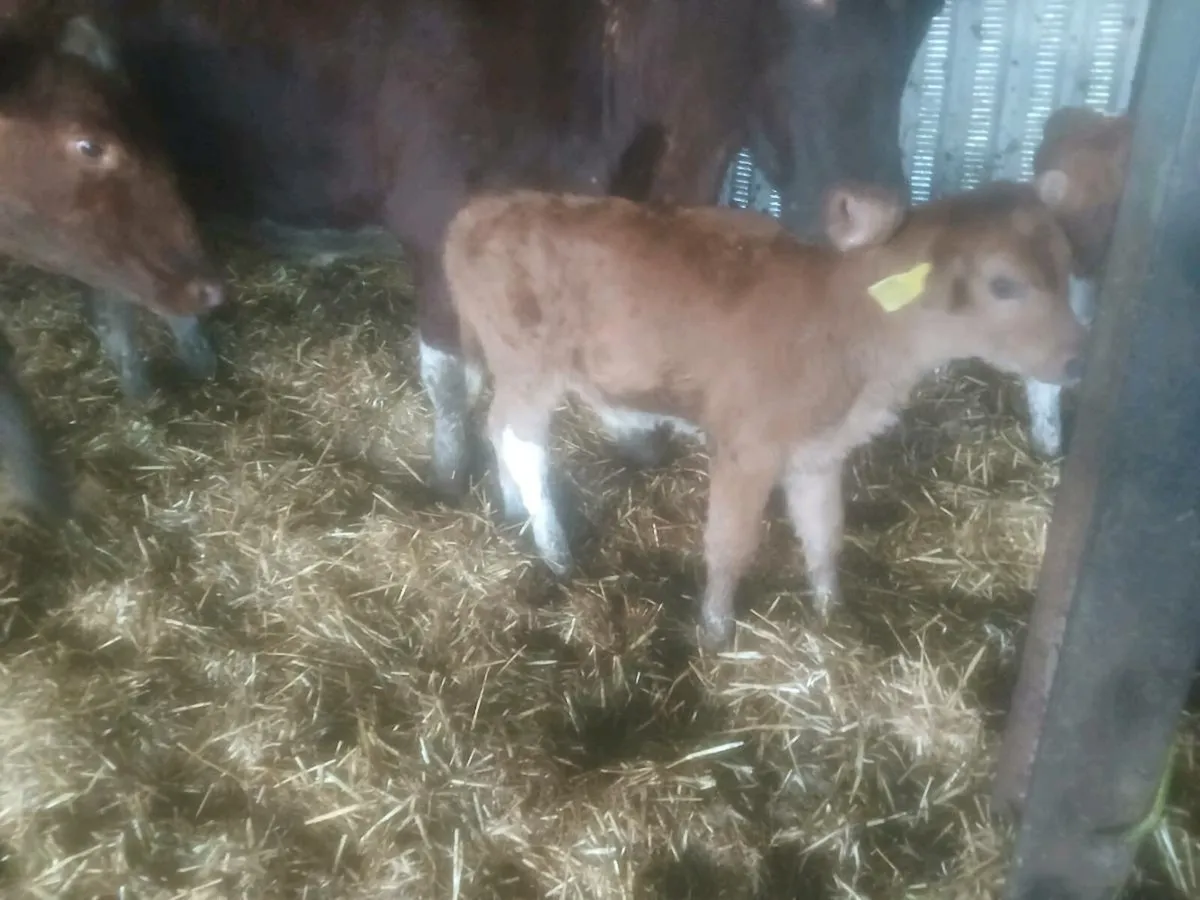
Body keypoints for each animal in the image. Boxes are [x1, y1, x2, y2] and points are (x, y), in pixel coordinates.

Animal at [33, 0, 943, 497]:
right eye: (810, 1)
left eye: (928, 10)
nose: (874, 210)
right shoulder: (438, 221)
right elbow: (450, 375)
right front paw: (450, 478)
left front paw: (634, 438)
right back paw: (136, 381)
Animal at [441, 179, 1087, 647]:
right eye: (1004, 283)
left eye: (1066, 264)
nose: (1077, 359)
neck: (845, 325)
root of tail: (483, 206)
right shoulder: (746, 448)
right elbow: (731, 544)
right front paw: (715, 633)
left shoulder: (819, 452)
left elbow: (824, 535)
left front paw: (832, 619)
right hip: (530, 365)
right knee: (520, 441)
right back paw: (555, 551)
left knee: (500, 433)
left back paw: (511, 511)